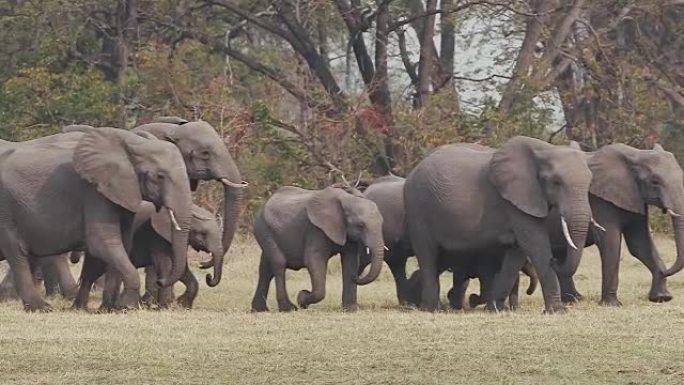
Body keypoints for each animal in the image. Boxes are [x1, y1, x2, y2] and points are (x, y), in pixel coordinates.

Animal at [0, 127, 194, 310]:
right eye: (160, 176)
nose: (161, 281)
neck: (134, 145)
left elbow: (121, 245)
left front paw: (107, 308)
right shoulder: (94, 193)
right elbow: (103, 242)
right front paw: (127, 306)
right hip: (6, 212)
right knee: (18, 255)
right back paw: (41, 308)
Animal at [251, 186, 388, 312]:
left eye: (382, 223)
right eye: (361, 225)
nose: (357, 277)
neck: (346, 199)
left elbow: (350, 261)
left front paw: (350, 309)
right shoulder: (315, 229)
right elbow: (314, 261)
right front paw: (302, 297)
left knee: (265, 269)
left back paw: (259, 310)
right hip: (263, 229)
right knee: (279, 264)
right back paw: (288, 308)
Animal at [404, 136, 596, 310]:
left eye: (589, 181)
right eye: (556, 182)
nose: (555, 259)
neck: (543, 149)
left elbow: (517, 253)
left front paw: (496, 308)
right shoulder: (515, 199)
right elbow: (535, 244)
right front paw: (557, 311)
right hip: (418, 209)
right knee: (427, 255)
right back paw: (431, 308)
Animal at [552, 142, 684, 304]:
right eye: (655, 182)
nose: (665, 271)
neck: (636, 155)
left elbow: (640, 245)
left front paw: (662, 298)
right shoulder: (599, 201)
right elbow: (610, 241)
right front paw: (611, 304)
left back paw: (574, 299)